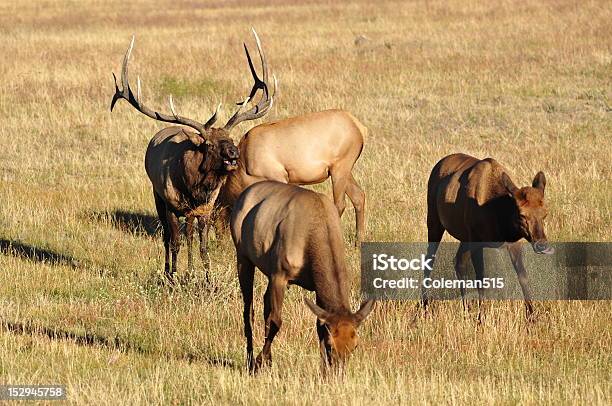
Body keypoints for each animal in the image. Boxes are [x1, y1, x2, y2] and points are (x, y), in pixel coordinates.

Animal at [110, 29, 278, 282]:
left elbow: (202, 246)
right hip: (157, 196)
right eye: (208, 144)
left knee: (188, 236)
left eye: (231, 138)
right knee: (168, 238)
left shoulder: (205, 210)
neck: (194, 188)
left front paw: (206, 279)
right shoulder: (172, 205)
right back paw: (169, 271)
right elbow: (176, 242)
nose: (233, 154)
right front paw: (176, 277)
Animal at [230, 182, 372, 372]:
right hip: (243, 256)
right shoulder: (280, 275)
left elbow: (319, 326)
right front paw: (260, 361)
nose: (337, 371)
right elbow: (276, 321)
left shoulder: (315, 288)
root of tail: (242, 195)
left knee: (264, 303)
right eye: (330, 345)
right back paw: (251, 359)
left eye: (355, 345)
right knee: (248, 309)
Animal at [426, 152, 556, 318]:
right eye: (521, 215)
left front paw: (531, 316)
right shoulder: (476, 241)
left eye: (545, 213)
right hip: (434, 221)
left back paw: (466, 309)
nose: (542, 245)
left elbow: (523, 276)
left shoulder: (513, 242)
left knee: (459, 261)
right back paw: (424, 306)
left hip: (464, 237)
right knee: (429, 260)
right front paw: (481, 317)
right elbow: (481, 279)